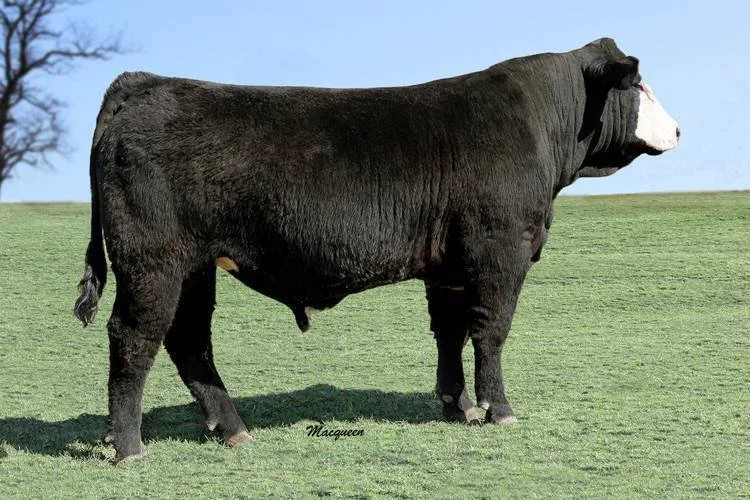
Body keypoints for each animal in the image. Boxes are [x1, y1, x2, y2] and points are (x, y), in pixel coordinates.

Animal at [73, 38, 679, 463]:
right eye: (640, 86)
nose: (676, 129)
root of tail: (145, 83)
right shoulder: (500, 250)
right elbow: (491, 331)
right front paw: (498, 410)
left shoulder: (449, 266)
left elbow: (450, 331)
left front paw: (457, 407)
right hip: (153, 260)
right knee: (134, 337)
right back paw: (128, 447)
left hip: (195, 266)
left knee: (189, 341)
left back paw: (233, 430)